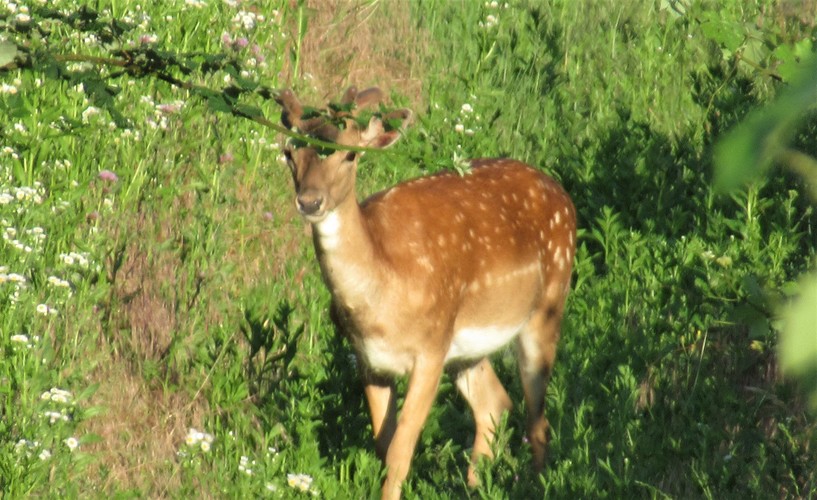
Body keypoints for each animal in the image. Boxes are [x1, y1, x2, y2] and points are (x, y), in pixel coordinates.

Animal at [278, 88, 576, 498]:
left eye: (350, 154)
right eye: (289, 153)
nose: (310, 201)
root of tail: (563, 195)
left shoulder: (430, 350)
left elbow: (400, 451)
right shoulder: (369, 360)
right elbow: (382, 444)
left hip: (547, 305)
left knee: (537, 420)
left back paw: (536, 483)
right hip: (465, 348)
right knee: (495, 403)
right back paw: (474, 486)